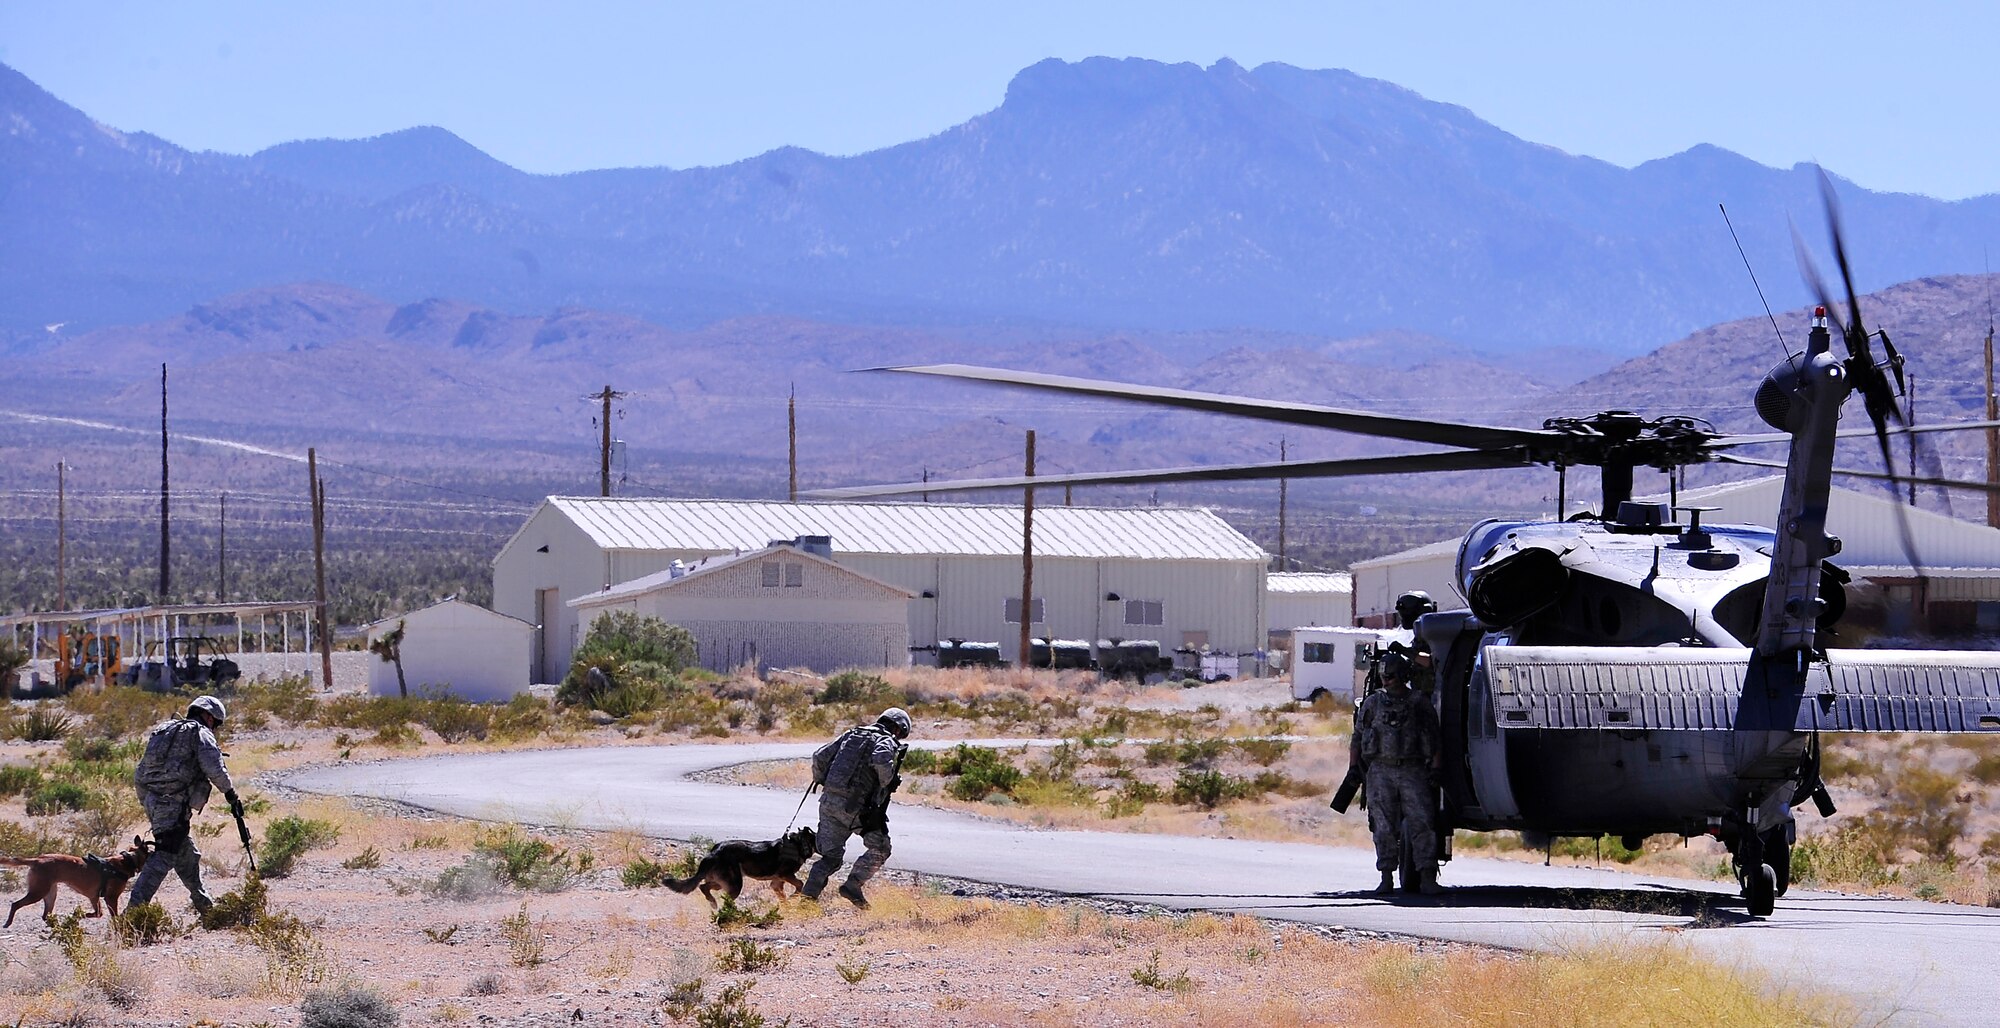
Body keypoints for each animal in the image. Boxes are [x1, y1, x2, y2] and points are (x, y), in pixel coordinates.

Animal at [0, 832, 155, 920]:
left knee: (45, 915)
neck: (128, 860)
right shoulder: (111, 898)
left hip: (50, 894)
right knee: (16, 904)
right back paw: (8, 923)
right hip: (38, 892)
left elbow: (98, 913)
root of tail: (37, 859)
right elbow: (110, 916)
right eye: (150, 852)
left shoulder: (94, 897)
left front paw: (80, 915)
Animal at [668, 824, 816, 904]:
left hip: (721, 882)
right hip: (734, 884)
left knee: (703, 887)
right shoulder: (786, 875)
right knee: (722, 898)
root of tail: (715, 851)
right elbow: (800, 884)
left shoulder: (776, 882)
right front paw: (793, 897)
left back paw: (713, 903)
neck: (799, 843)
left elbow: (783, 897)